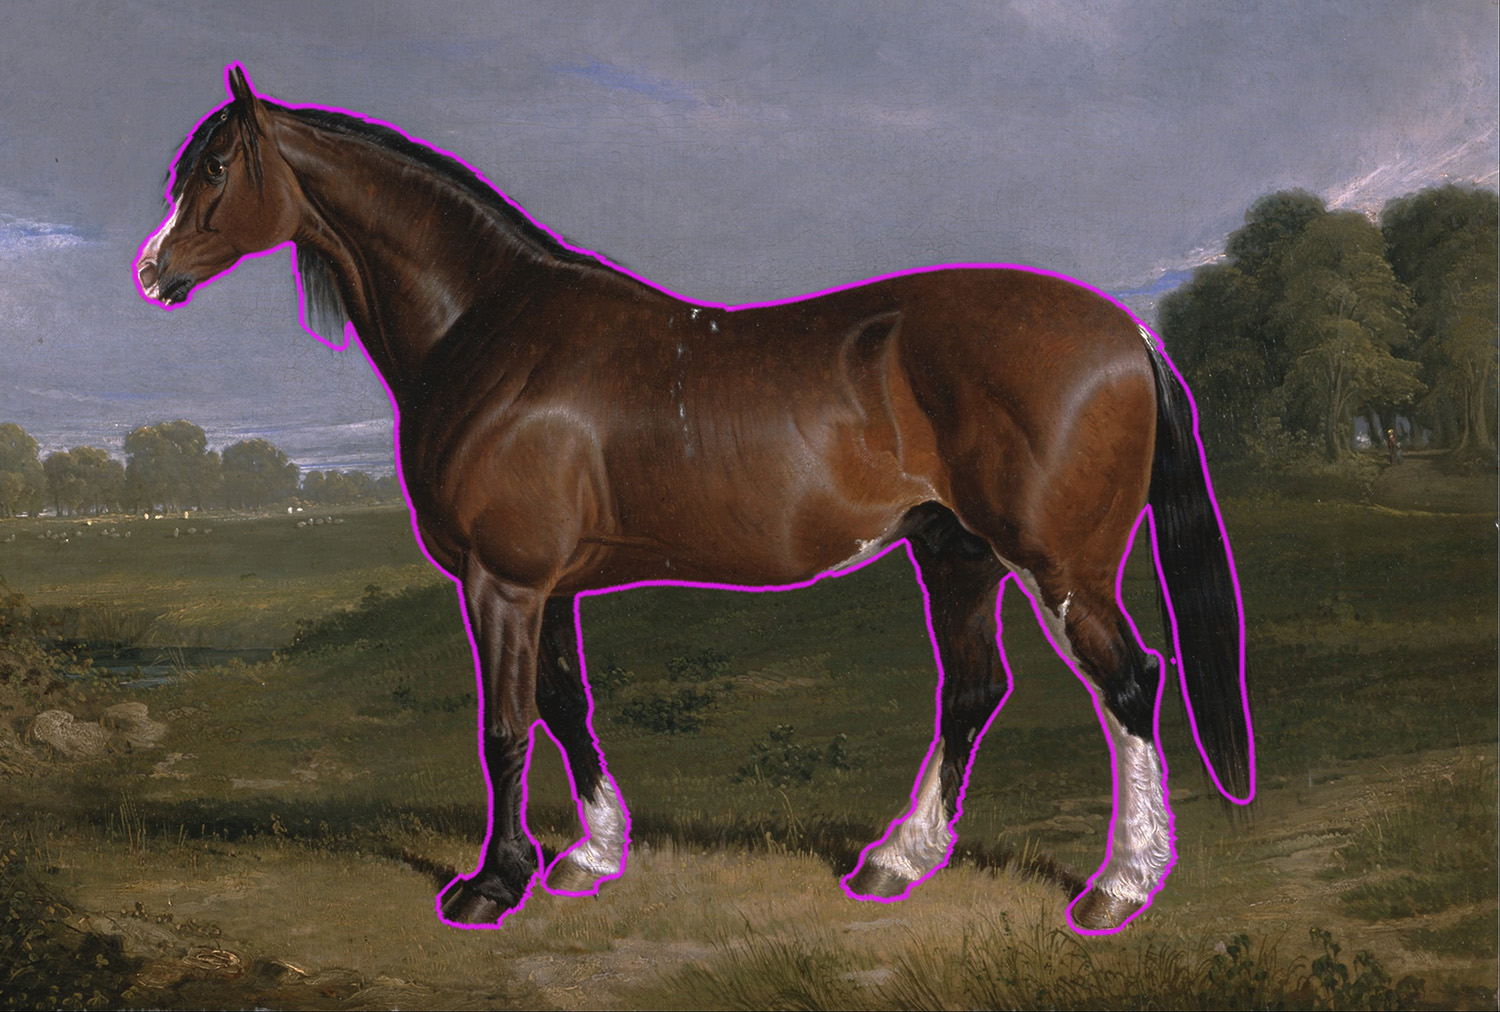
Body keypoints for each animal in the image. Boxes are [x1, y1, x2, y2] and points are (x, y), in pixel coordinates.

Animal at [134, 65, 1253, 934]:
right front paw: (589, 856)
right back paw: (897, 860)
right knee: (975, 691)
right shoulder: (550, 586)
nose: (152, 273)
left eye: (218, 168)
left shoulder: (503, 581)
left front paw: (493, 885)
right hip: (957, 554)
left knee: (1129, 685)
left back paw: (1118, 888)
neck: (492, 329)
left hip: (1058, 564)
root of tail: (1127, 333)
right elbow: (563, 704)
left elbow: (504, 727)